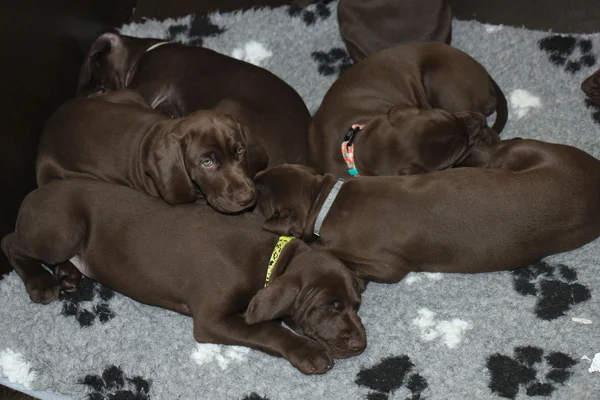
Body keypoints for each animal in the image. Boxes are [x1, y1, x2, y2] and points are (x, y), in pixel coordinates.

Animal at [2, 180, 366, 374]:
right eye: (331, 306)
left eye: (356, 305)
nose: (361, 345)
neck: (271, 258)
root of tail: (32, 194)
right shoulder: (211, 320)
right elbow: (268, 329)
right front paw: (307, 351)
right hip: (63, 229)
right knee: (11, 242)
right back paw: (41, 282)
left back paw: (67, 274)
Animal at [37, 89, 268, 214]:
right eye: (207, 163)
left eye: (240, 150)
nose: (247, 198)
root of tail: (51, 121)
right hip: (47, 171)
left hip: (129, 95)